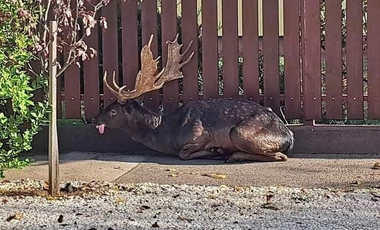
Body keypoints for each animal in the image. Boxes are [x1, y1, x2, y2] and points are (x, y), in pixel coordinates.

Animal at [94, 35, 294, 163]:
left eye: (112, 111)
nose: (95, 119)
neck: (168, 132)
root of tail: (289, 136)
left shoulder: (200, 134)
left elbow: (183, 154)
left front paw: (215, 150)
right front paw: (216, 151)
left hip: (239, 132)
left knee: (281, 156)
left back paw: (229, 155)